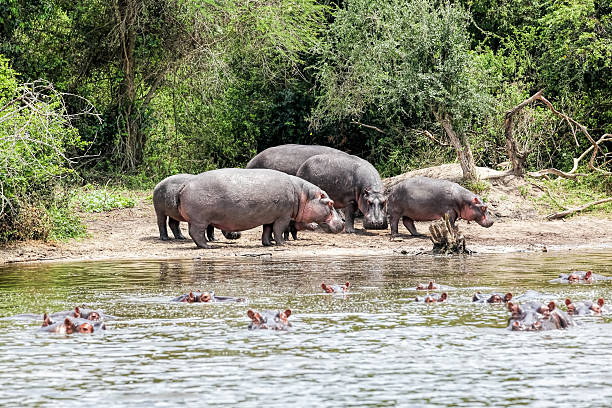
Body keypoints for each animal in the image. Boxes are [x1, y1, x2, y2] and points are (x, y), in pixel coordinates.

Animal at [177, 167, 344, 247]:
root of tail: (185, 184)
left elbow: (267, 231)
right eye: (331, 203)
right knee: (196, 234)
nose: (342, 223)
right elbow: (278, 230)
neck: (303, 195)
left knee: (195, 233)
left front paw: (268, 244)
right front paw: (283, 244)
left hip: (198, 220)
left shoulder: (270, 217)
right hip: (200, 220)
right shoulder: (283, 217)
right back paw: (208, 247)